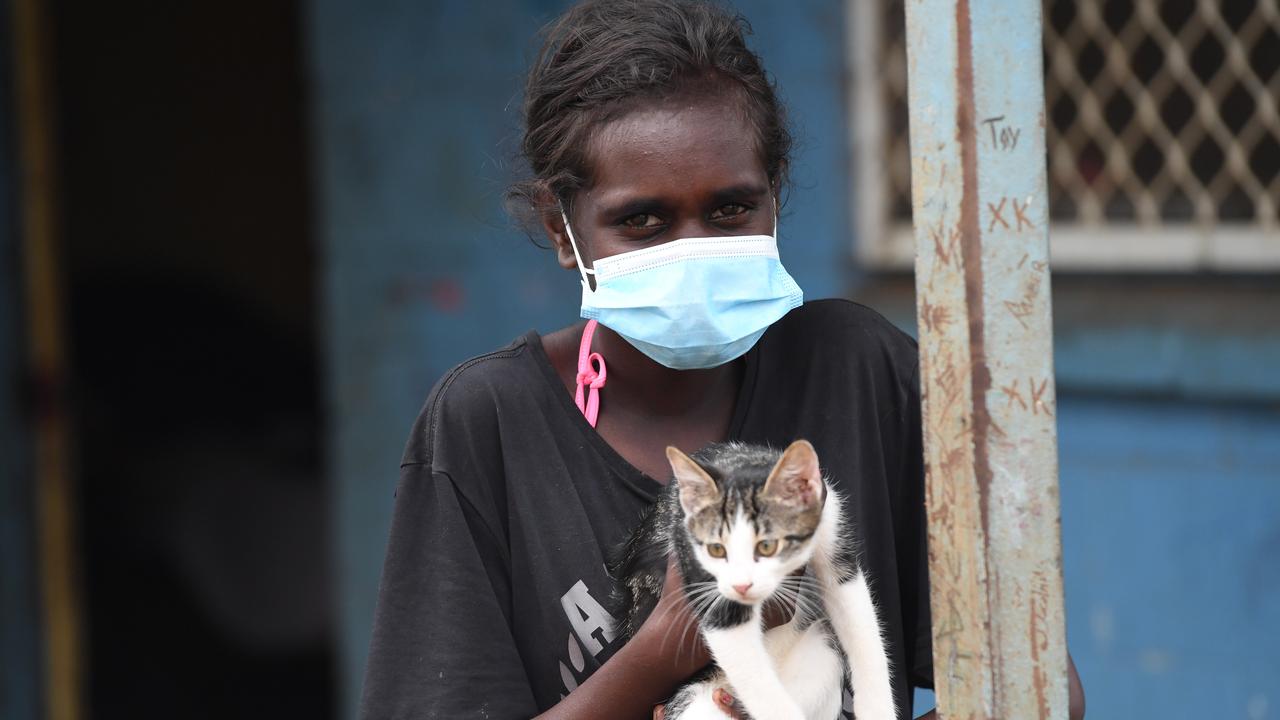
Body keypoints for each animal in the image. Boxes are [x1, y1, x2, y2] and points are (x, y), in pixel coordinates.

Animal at [611, 438, 896, 717]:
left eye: (768, 545)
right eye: (717, 549)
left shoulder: (832, 533)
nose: (743, 583)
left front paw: (878, 709)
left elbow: (861, 627)